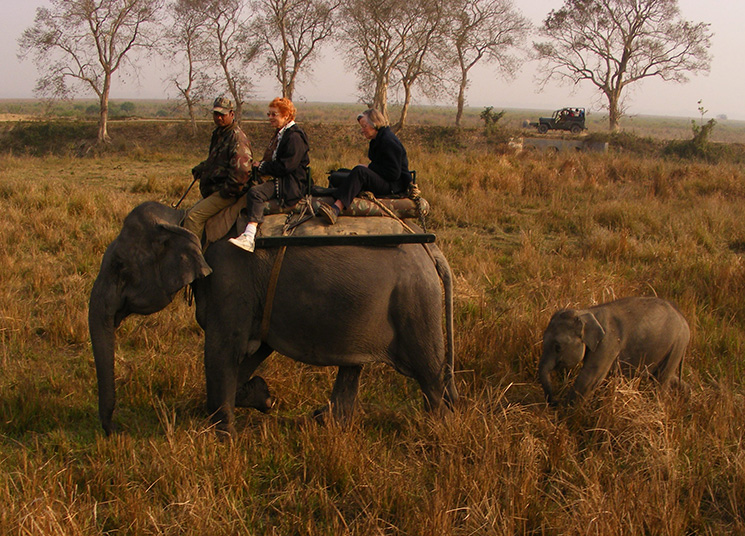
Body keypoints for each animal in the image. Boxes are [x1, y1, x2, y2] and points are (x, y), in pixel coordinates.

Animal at [90, 201, 456, 436]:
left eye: (120, 267)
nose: (115, 431)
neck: (186, 220)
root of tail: (433, 250)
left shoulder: (230, 281)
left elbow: (223, 350)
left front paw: (223, 437)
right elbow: (253, 350)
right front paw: (263, 397)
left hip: (415, 302)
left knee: (429, 374)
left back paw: (437, 430)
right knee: (353, 366)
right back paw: (324, 422)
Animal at [536, 296, 688, 404]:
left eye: (558, 347)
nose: (554, 401)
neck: (587, 313)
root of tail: (684, 321)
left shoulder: (608, 344)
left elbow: (589, 379)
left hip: (677, 345)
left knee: (661, 380)